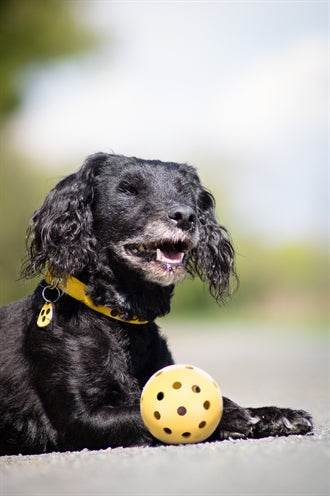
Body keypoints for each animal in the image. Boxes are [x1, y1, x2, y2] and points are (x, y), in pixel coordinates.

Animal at [0, 153, 312, 456]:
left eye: (184, 191)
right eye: (128, 189)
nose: (186, 216)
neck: (119, 318)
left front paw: (276, 414)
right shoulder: (82, 418)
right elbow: (150, 414)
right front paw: (229, 416)